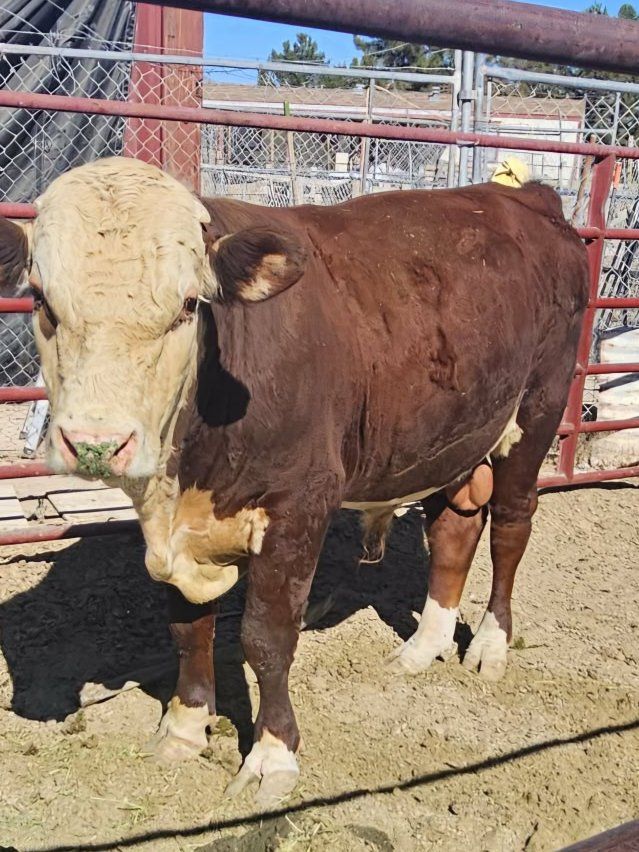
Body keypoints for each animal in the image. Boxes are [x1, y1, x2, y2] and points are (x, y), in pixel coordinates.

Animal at [0, 157, 588, 807]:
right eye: (42, 301)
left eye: (187, 305)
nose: (97, 443)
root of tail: (523, 198)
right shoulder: (175, 530)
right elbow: (188, 625)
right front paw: (185, 726)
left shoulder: (301, 503)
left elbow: (267, 636)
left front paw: (272, 755)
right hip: (451, 434)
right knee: (454, 531)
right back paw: (423, 645)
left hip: (537, 411)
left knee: (511, 525)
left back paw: (488, 645)